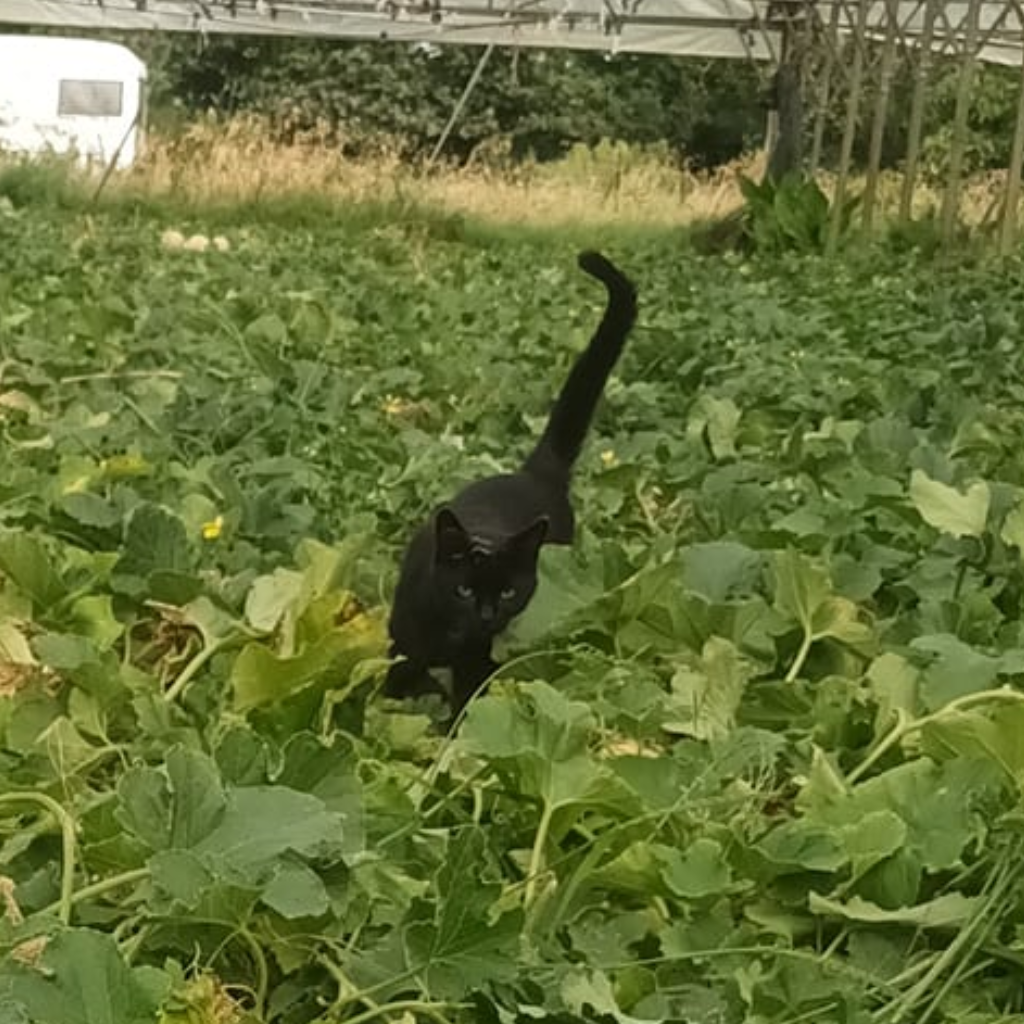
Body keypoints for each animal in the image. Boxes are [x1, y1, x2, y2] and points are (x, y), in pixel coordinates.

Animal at [385, 249, 634, 712]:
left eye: (507, 593)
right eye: (464, 590)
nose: (486, 617)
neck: (452, 638)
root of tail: (535, 472)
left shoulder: (478, 664)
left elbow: (467, 709)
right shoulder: (403, 642)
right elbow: (389, 684)